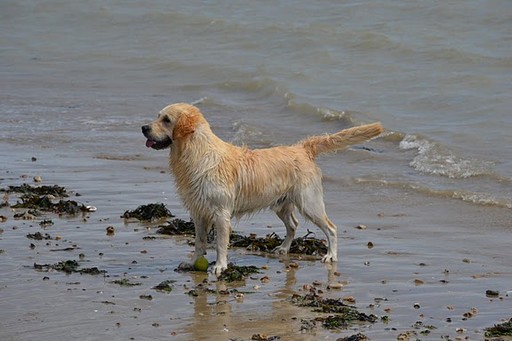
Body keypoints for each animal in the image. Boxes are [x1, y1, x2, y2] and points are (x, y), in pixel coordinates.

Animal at [142, 102, 382, 274]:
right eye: (157, 116)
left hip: (309, 202)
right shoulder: (198, 211)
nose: (144, 128)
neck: (196, 154)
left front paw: (220, 266)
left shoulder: (221, 213)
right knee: (293, 225)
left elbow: (220, 243)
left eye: (166, 119)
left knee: (330, 228)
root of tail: (302, 148)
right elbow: (200, 242)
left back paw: (330, 255)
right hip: (281, 204)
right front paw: (193, 262)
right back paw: (284, 249)